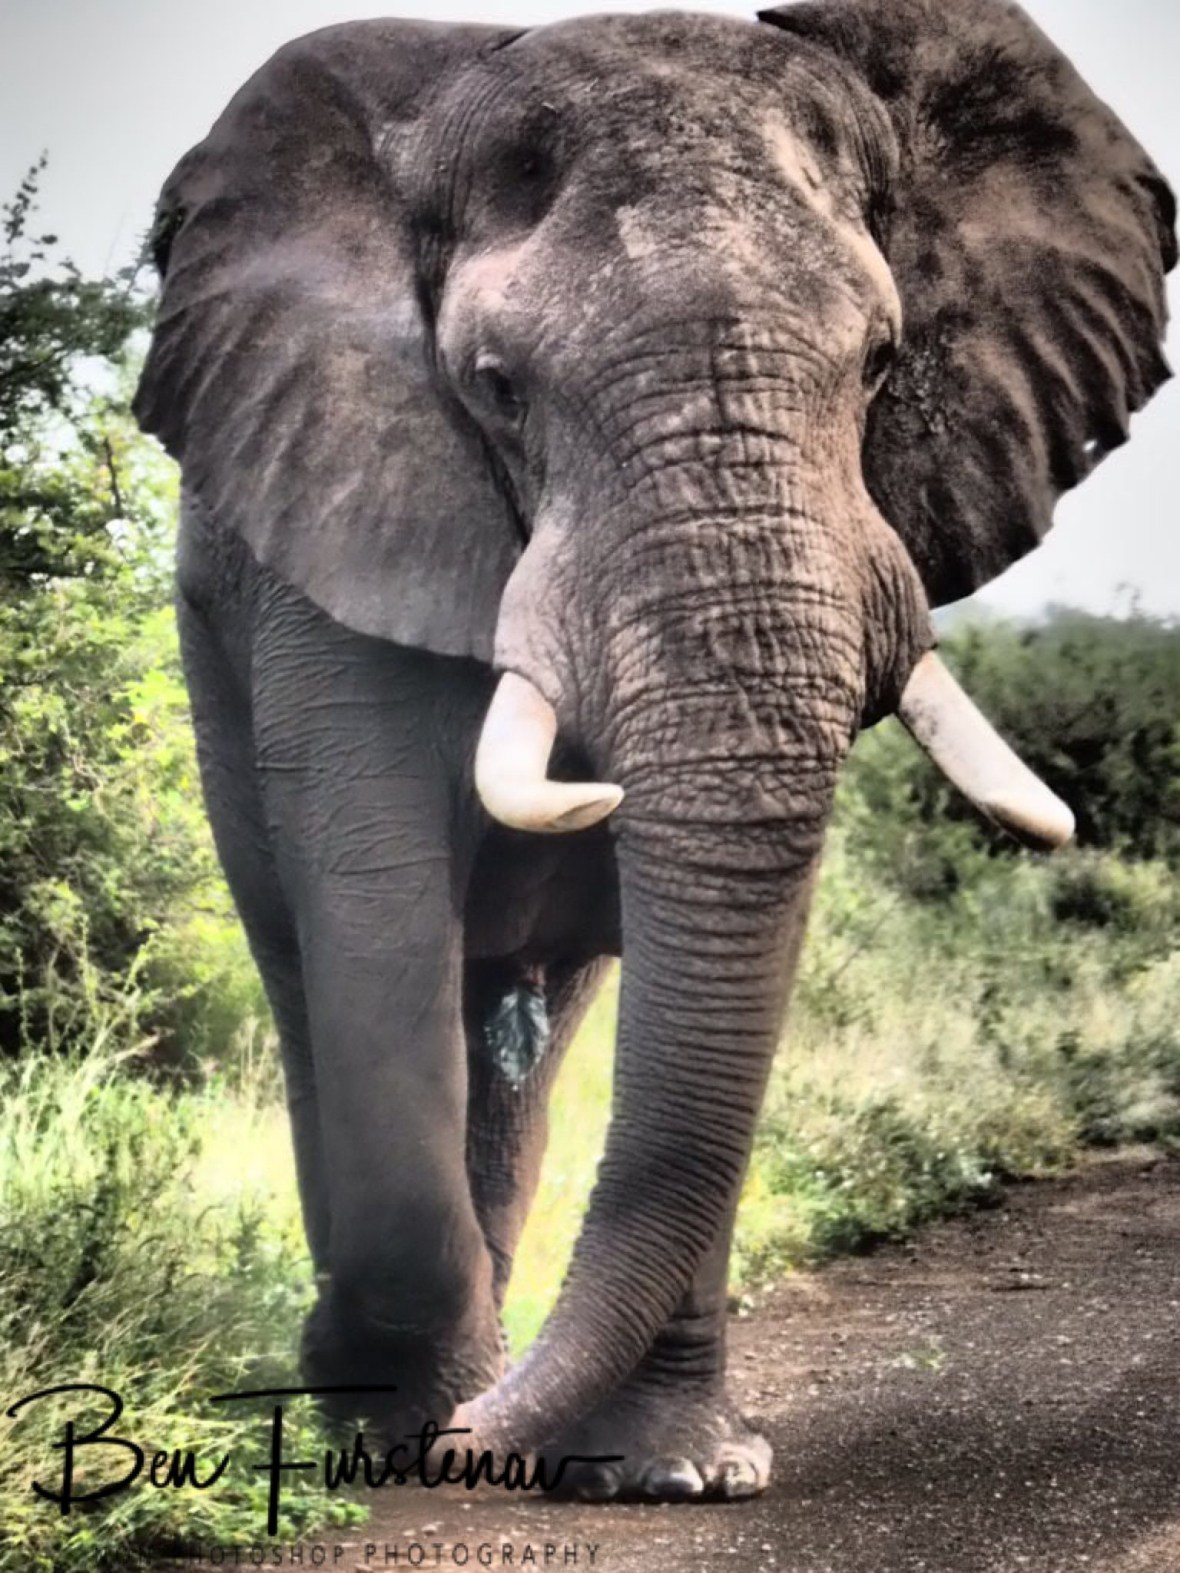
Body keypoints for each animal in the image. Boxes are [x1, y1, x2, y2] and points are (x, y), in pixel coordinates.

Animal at [134, 0, 1175, 1503]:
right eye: (496, 389)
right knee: (324, 974)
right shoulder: (342, 503)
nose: (476, 1434)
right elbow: (377, 907)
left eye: (880, 363)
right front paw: (420, 1440)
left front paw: (673, 1474)